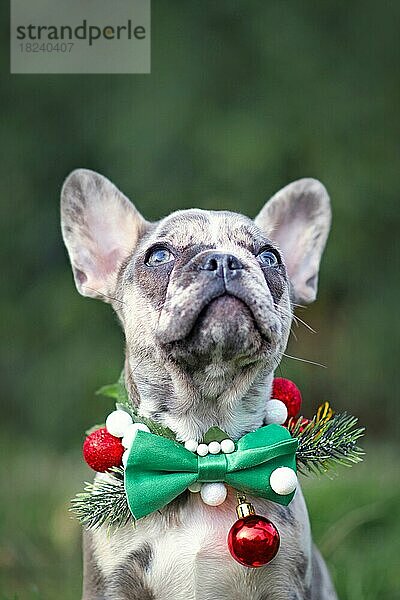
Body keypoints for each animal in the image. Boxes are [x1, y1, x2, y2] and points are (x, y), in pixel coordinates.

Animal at [61, 169, 338, 600]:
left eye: (269, 257)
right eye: (158, 255)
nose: (223, 259)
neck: (201, 450)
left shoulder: (285, 584)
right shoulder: (111, 584)